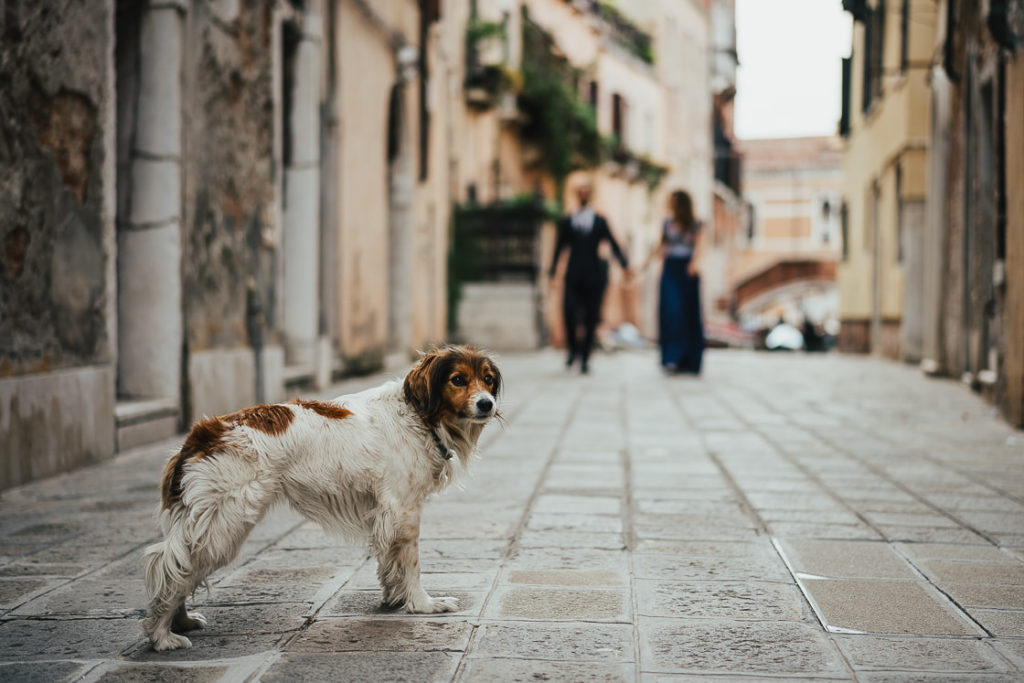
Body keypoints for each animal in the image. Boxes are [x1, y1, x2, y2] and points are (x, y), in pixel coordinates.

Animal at [140, 348, 499, 651]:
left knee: (179, 564)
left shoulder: (387, 513)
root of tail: (201, 435)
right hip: (223, 525)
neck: (416, 416)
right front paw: (423, 605)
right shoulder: (405, 508)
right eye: (458, 380)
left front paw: (395, 600)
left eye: (488, 380)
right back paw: (162, 636)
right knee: (170, 566)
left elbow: (389, 563)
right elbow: (411, 566)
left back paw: (181, 622)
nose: (487, 404)